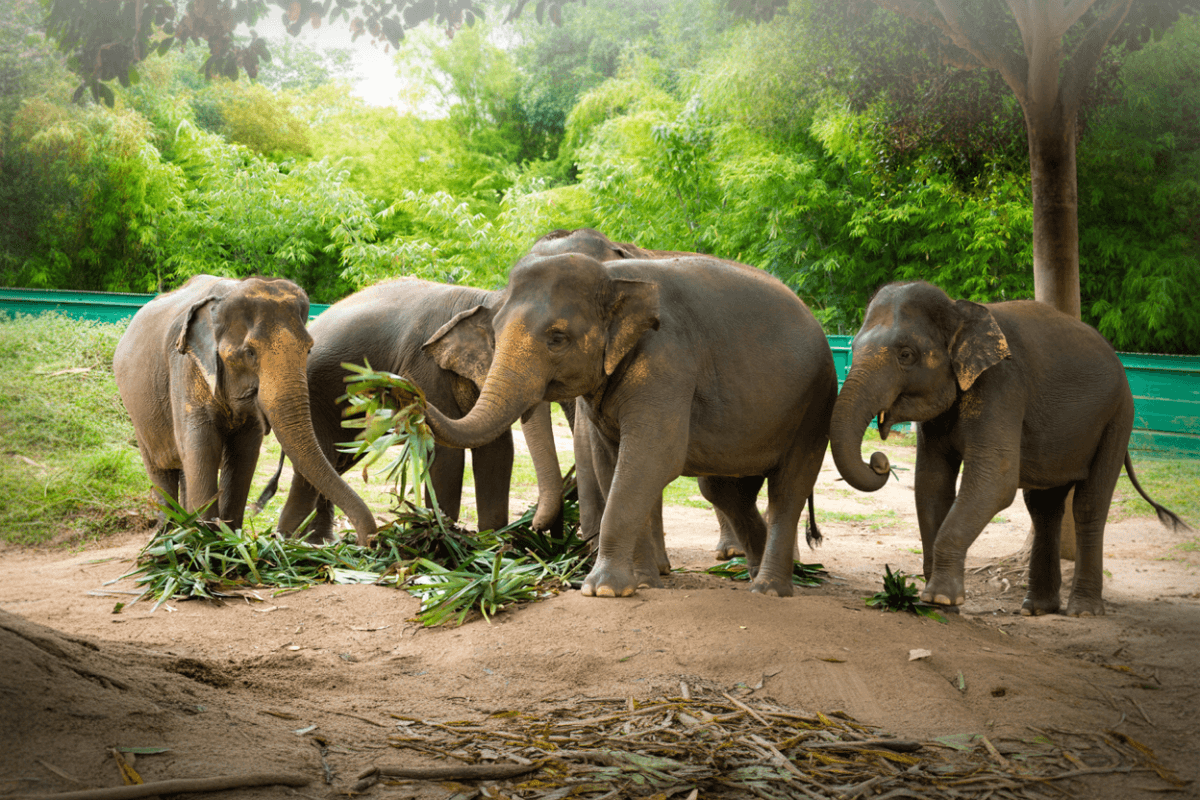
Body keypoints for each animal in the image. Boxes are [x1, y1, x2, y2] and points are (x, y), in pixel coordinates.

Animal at [113, 275, 377, 543]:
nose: (370, 542)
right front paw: (208, 543)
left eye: (309, 349)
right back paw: (167, 539)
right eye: (249, 353)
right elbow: (202, 446)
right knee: (161, 471)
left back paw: (181, 532)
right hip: (139, 415)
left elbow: (244, 452)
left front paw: (229, 539)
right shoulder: (187, 366)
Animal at [267, 277, 565, 542]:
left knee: (336, 461)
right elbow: (447, 453)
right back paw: (297, 543)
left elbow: (497, 450)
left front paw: (491, 543)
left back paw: (319, 542)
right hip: (315, 396)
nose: (393, 386)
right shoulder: (426, 366)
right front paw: (443, 535)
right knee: (322, 458)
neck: (484, 298)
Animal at [419, 251, 838, 597]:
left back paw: (770, 589)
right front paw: (640, 583)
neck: (613, 276)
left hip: (815, 406)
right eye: (495, 331)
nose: (408, 393)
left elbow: (652, 458)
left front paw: (601, 590)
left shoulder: (668, 363)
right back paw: (757, 576)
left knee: (787, 489)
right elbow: (612, 463)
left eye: (557, 338)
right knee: (725, 492)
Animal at [829, 280, 1190, 616]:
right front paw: (938, 604)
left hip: (1117, 419)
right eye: (854, 347)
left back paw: (1083, 610)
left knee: (1089, 506)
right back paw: (1037, 608)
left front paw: (939, 598)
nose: (879, 460)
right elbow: (932, 484)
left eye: (905, 354)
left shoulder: (1002, 386)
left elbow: (994, 482)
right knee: (1043, 508)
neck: (959, 310)